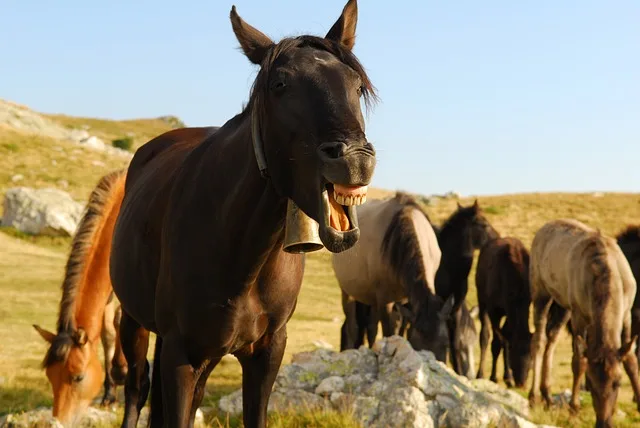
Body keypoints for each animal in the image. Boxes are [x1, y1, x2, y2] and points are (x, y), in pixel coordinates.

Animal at [33, 169, 128, 426]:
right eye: (50, 375)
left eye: (78, 377)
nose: (59, 421)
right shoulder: (107, 294)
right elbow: (107, 333)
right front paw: (110, 394)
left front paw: (121, 372)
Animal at [108, 2, 377, 427]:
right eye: (280, 84)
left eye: (357, 84)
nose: (355, 160)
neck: (239, 253)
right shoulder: (182, 356)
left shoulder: (266, 352)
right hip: (134, 324)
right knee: (137, 388)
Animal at [333, 192, 454, 362]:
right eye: (417, 346)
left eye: (446, 344)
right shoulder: (384, 299)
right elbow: (388, 332)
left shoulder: (406, 300)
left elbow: (400, 330)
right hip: (348, 290)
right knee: (353, 326)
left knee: (371, 328)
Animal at [475, 236, 532, 388]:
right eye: (514, 352)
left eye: (532, 355)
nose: (521, 383)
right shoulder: (493, 308)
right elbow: (496, 342)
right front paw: (493, 377)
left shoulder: (511, 310)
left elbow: (505, 339)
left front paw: (508, 377)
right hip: (481, 298)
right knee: (484, 335)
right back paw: (480, 373)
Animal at [528, 219, 640, 427]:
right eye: (591, 384)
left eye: (617, 382)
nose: (604, 423)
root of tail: (541, 230)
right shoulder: (579, 314)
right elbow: (578, 361)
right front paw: (574, 410)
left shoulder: (627, 313)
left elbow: (631, 359)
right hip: (541, 291)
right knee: (538, 340)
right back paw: (534, 398)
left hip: (563, 304)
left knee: (552, 338)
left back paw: (548, 396)